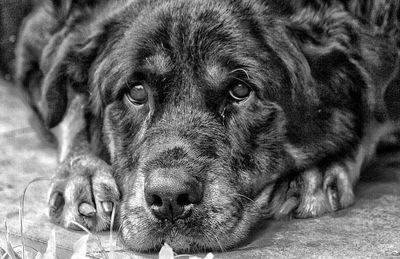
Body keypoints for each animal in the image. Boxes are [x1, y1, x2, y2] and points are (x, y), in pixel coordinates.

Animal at [13, 0, 400, 254]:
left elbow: (375, 109)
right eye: (136, 92)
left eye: (240, 90)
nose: (169, 197)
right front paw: (82, 172)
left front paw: (321, 168)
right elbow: (69, 104)